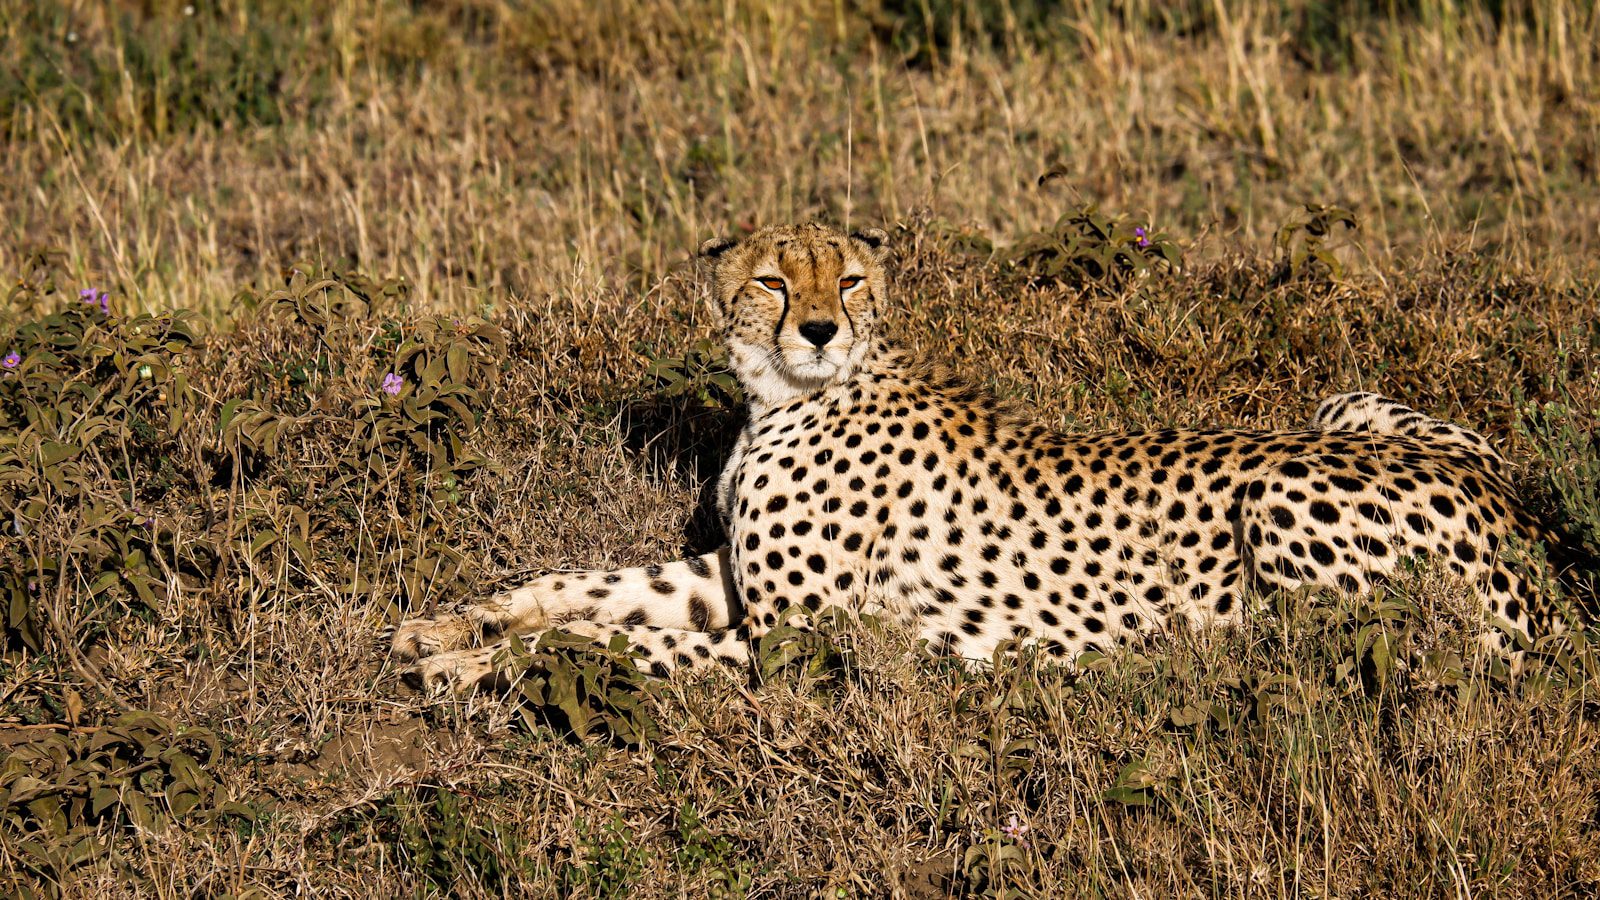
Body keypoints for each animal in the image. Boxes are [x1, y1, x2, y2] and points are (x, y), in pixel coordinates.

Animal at [391, 222, 1569, 691]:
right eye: (773, 279)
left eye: (849, 279)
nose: (817, 328)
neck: (785, 399)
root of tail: (1522, 522)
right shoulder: (725, 580)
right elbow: (582, 586)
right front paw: (451, 626)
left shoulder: (807, 643)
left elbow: (607, 642)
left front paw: (470, 668)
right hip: (1348, 398)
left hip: (1282, 496)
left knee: (1309, 650)